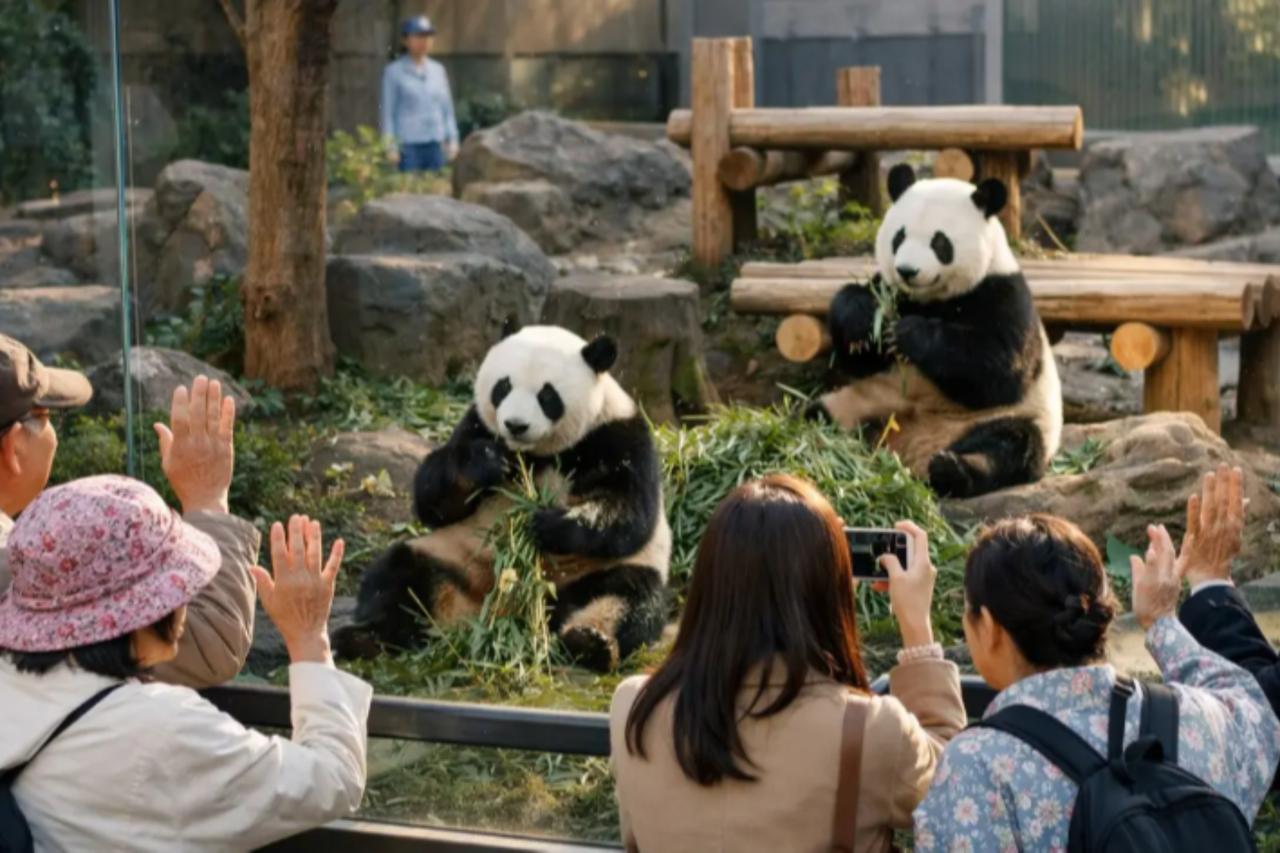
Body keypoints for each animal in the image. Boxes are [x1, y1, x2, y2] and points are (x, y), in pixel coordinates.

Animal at [333, 323, 671, 672]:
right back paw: (365, 638)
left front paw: (547, 524)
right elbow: (434, 498)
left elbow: (629, 513)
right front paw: (487, 461)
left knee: (628, 598)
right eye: (503, 386)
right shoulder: (475, 425)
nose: (515, 425)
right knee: (400, 577)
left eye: (547, 395)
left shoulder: (615, 435)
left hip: (592, 573)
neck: (536, 453)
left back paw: (591, 642)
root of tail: (501, 615)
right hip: (457, 555)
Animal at [810, 164, 1062, 499]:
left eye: (939, 242)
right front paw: (864, 319)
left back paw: (953, 469)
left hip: (1006, 417)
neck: (932, 300)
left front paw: (910, 333)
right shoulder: (891, 290)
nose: (907, 270)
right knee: (820, 413)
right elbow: (858, 354)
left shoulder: (1003, 295)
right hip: (863, 402)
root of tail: (913, 453)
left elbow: (1001, 368)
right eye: (899, 236)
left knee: (1011, 444)